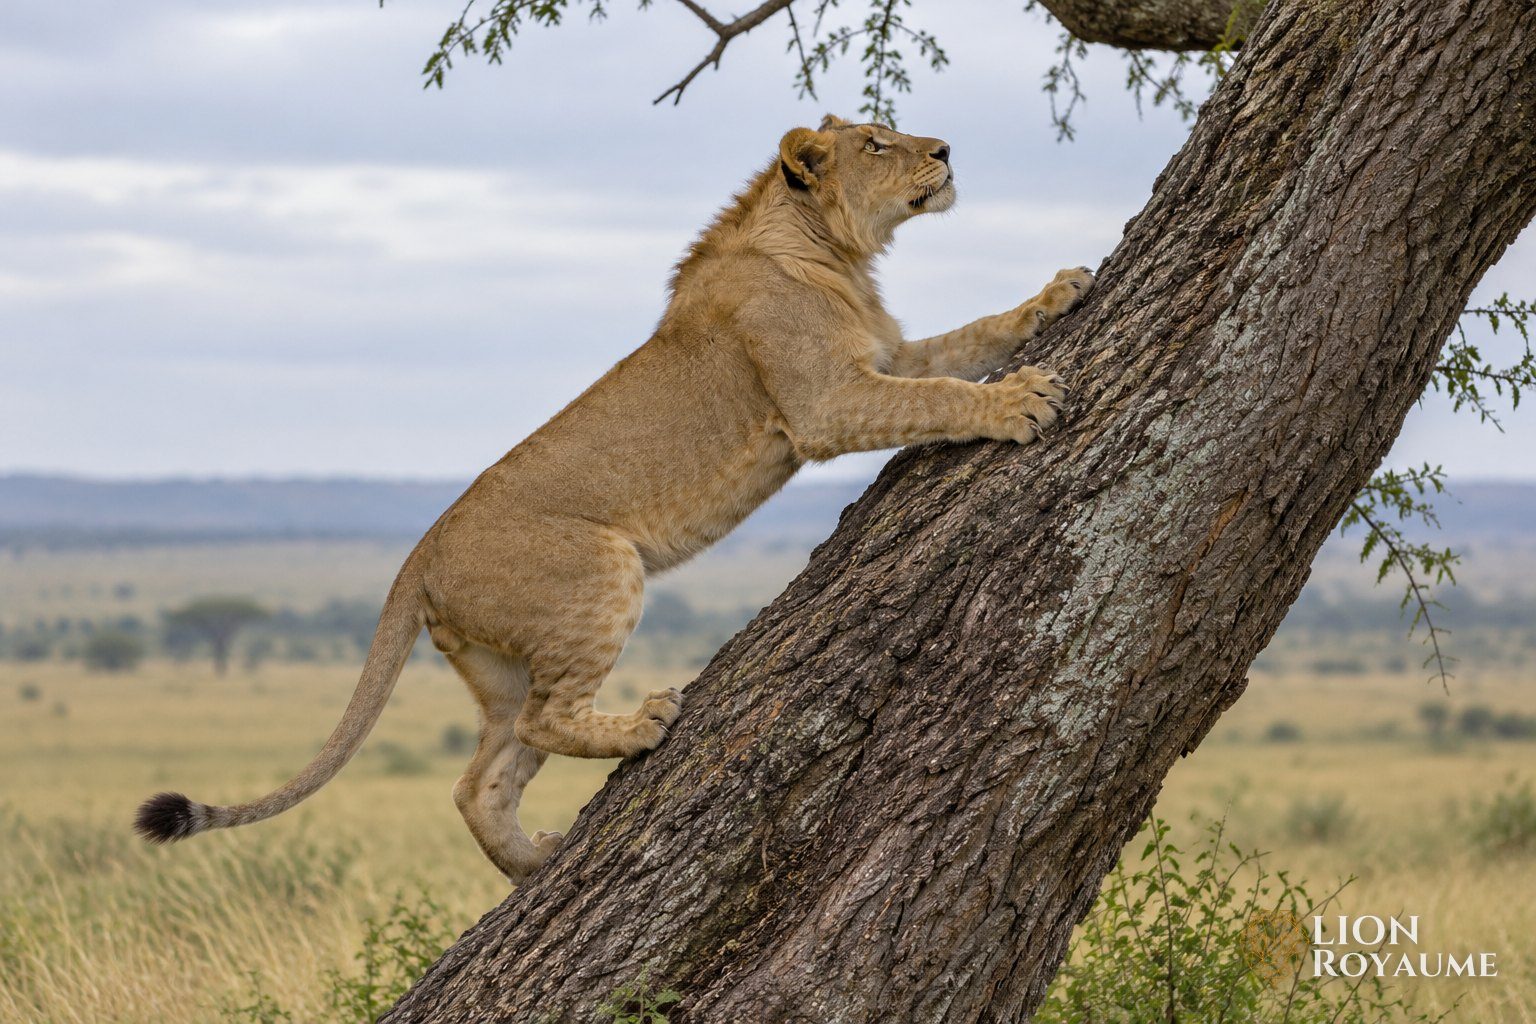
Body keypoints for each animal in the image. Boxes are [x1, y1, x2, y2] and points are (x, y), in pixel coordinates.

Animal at [135, 115, 1095, 881]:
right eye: (877, 145)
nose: (946, 149)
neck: (834, 254)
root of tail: (421, 554)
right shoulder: (829, 403)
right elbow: (942, 394)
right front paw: (1019, 404)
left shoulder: (883, 357)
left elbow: (968, 340)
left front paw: (1060, 292)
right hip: (600, 572)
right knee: (547, 719)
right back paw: (641, 727)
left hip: (499, 665)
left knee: (481, 777)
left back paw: (532, 862)